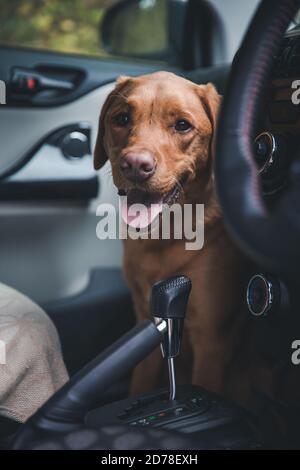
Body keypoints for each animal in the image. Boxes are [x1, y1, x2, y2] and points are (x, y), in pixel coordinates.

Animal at [93, 70, 255, 412]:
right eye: (121, 118)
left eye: (182, 125)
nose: (135, 165)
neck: (164, 236)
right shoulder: (146, 321)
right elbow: (140, 380)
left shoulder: (212, 341)